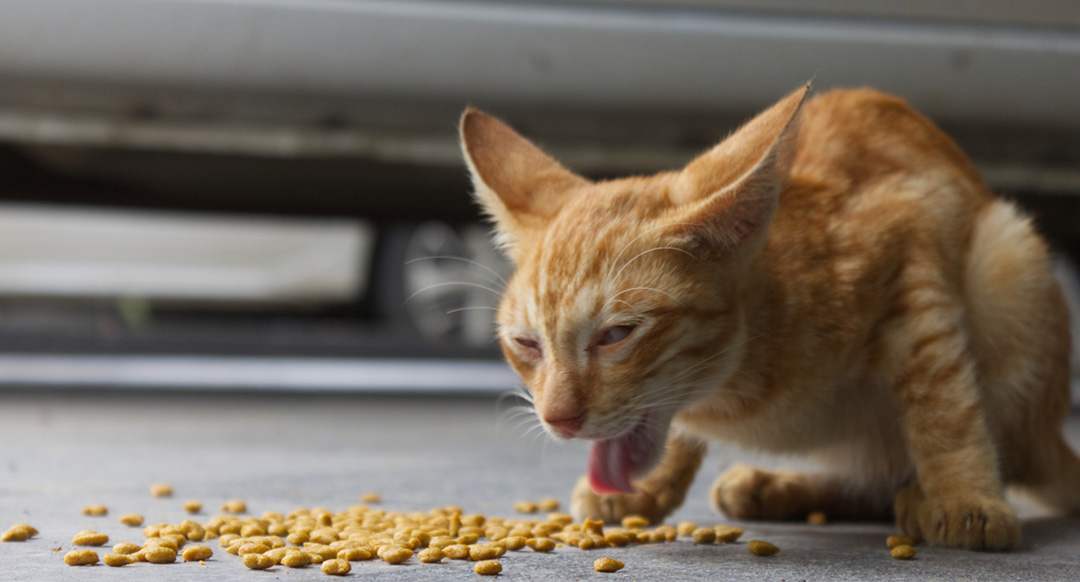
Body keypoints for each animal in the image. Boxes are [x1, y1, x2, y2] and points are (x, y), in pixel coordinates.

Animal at [457, 83, 1080, 550]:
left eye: (616, 335)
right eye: (526, 344)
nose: (558, 419)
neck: (733, 391)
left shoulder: (913, 248)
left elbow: (943, 403)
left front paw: (965, 495)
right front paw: (646, 485)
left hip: (1008, 256)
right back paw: (776, 486)